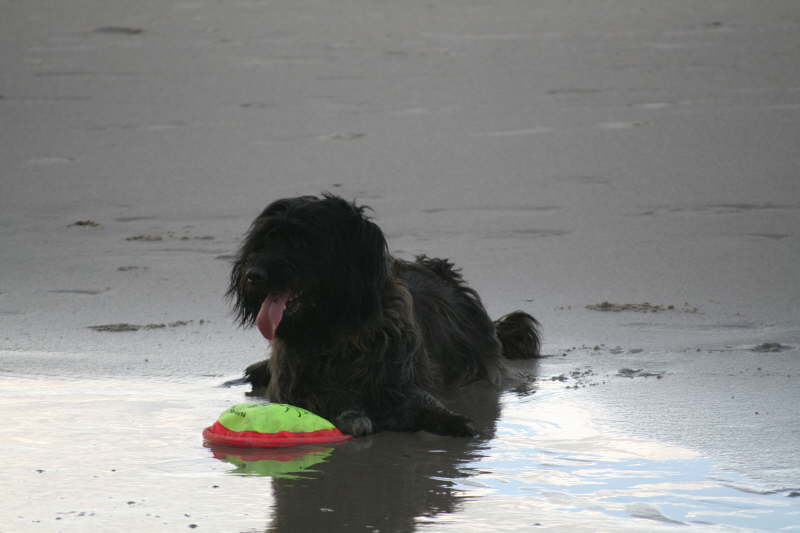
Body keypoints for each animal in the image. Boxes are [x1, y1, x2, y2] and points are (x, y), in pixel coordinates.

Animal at [225, 193, 540, 434]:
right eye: (263, 240)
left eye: (301, 242)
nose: (252, 275)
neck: (335, 332)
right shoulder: (297, 390)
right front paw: (351, 416)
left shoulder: (398, 380)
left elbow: (420, 402)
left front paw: (454, 421)